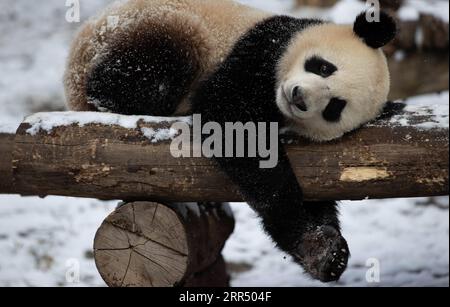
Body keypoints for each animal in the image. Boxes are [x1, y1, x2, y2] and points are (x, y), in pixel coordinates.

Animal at [64, 0, 398, 284]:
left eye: (334, 108)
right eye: (324, 67)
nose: (299, 97)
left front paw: (325, 251)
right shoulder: (262, 49)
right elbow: (231, 120)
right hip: (150, 27)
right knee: (149, 69)